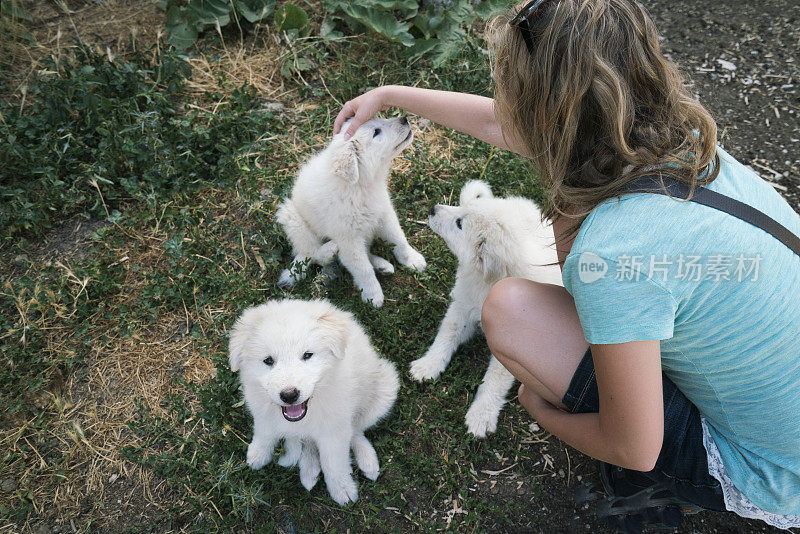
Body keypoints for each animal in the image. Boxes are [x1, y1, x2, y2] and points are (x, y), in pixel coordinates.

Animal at [228, 302, 400, 506]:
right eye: (268, 360)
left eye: (307, 355)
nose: (289, 395)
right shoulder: (263, 412)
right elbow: (264, 433)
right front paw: (258, 454)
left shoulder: (334, 431)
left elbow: (334, 463)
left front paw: (342, 489)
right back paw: (309, 470)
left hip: (383, 392)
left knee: (357, 431)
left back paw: (368, 461)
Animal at [276, 117, 424, 310]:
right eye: (376, 132)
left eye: (379, 118)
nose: (404, 119)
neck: (360, 186)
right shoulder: (348, 237)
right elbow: (362, 268)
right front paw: (373, 295)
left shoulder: (384, 214)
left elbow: (399, 240)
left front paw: (412, 260)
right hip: (291, 217)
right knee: (312, 252)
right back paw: (329, 250)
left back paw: (382, 266)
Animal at [410, 181, 560, 440]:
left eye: (460, 224)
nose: (432, 209)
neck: (488, 283)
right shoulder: (462, 307)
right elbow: (445, 336)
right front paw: (427, 365)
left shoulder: (511, 342)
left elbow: (494, 380)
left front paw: (481, 415)